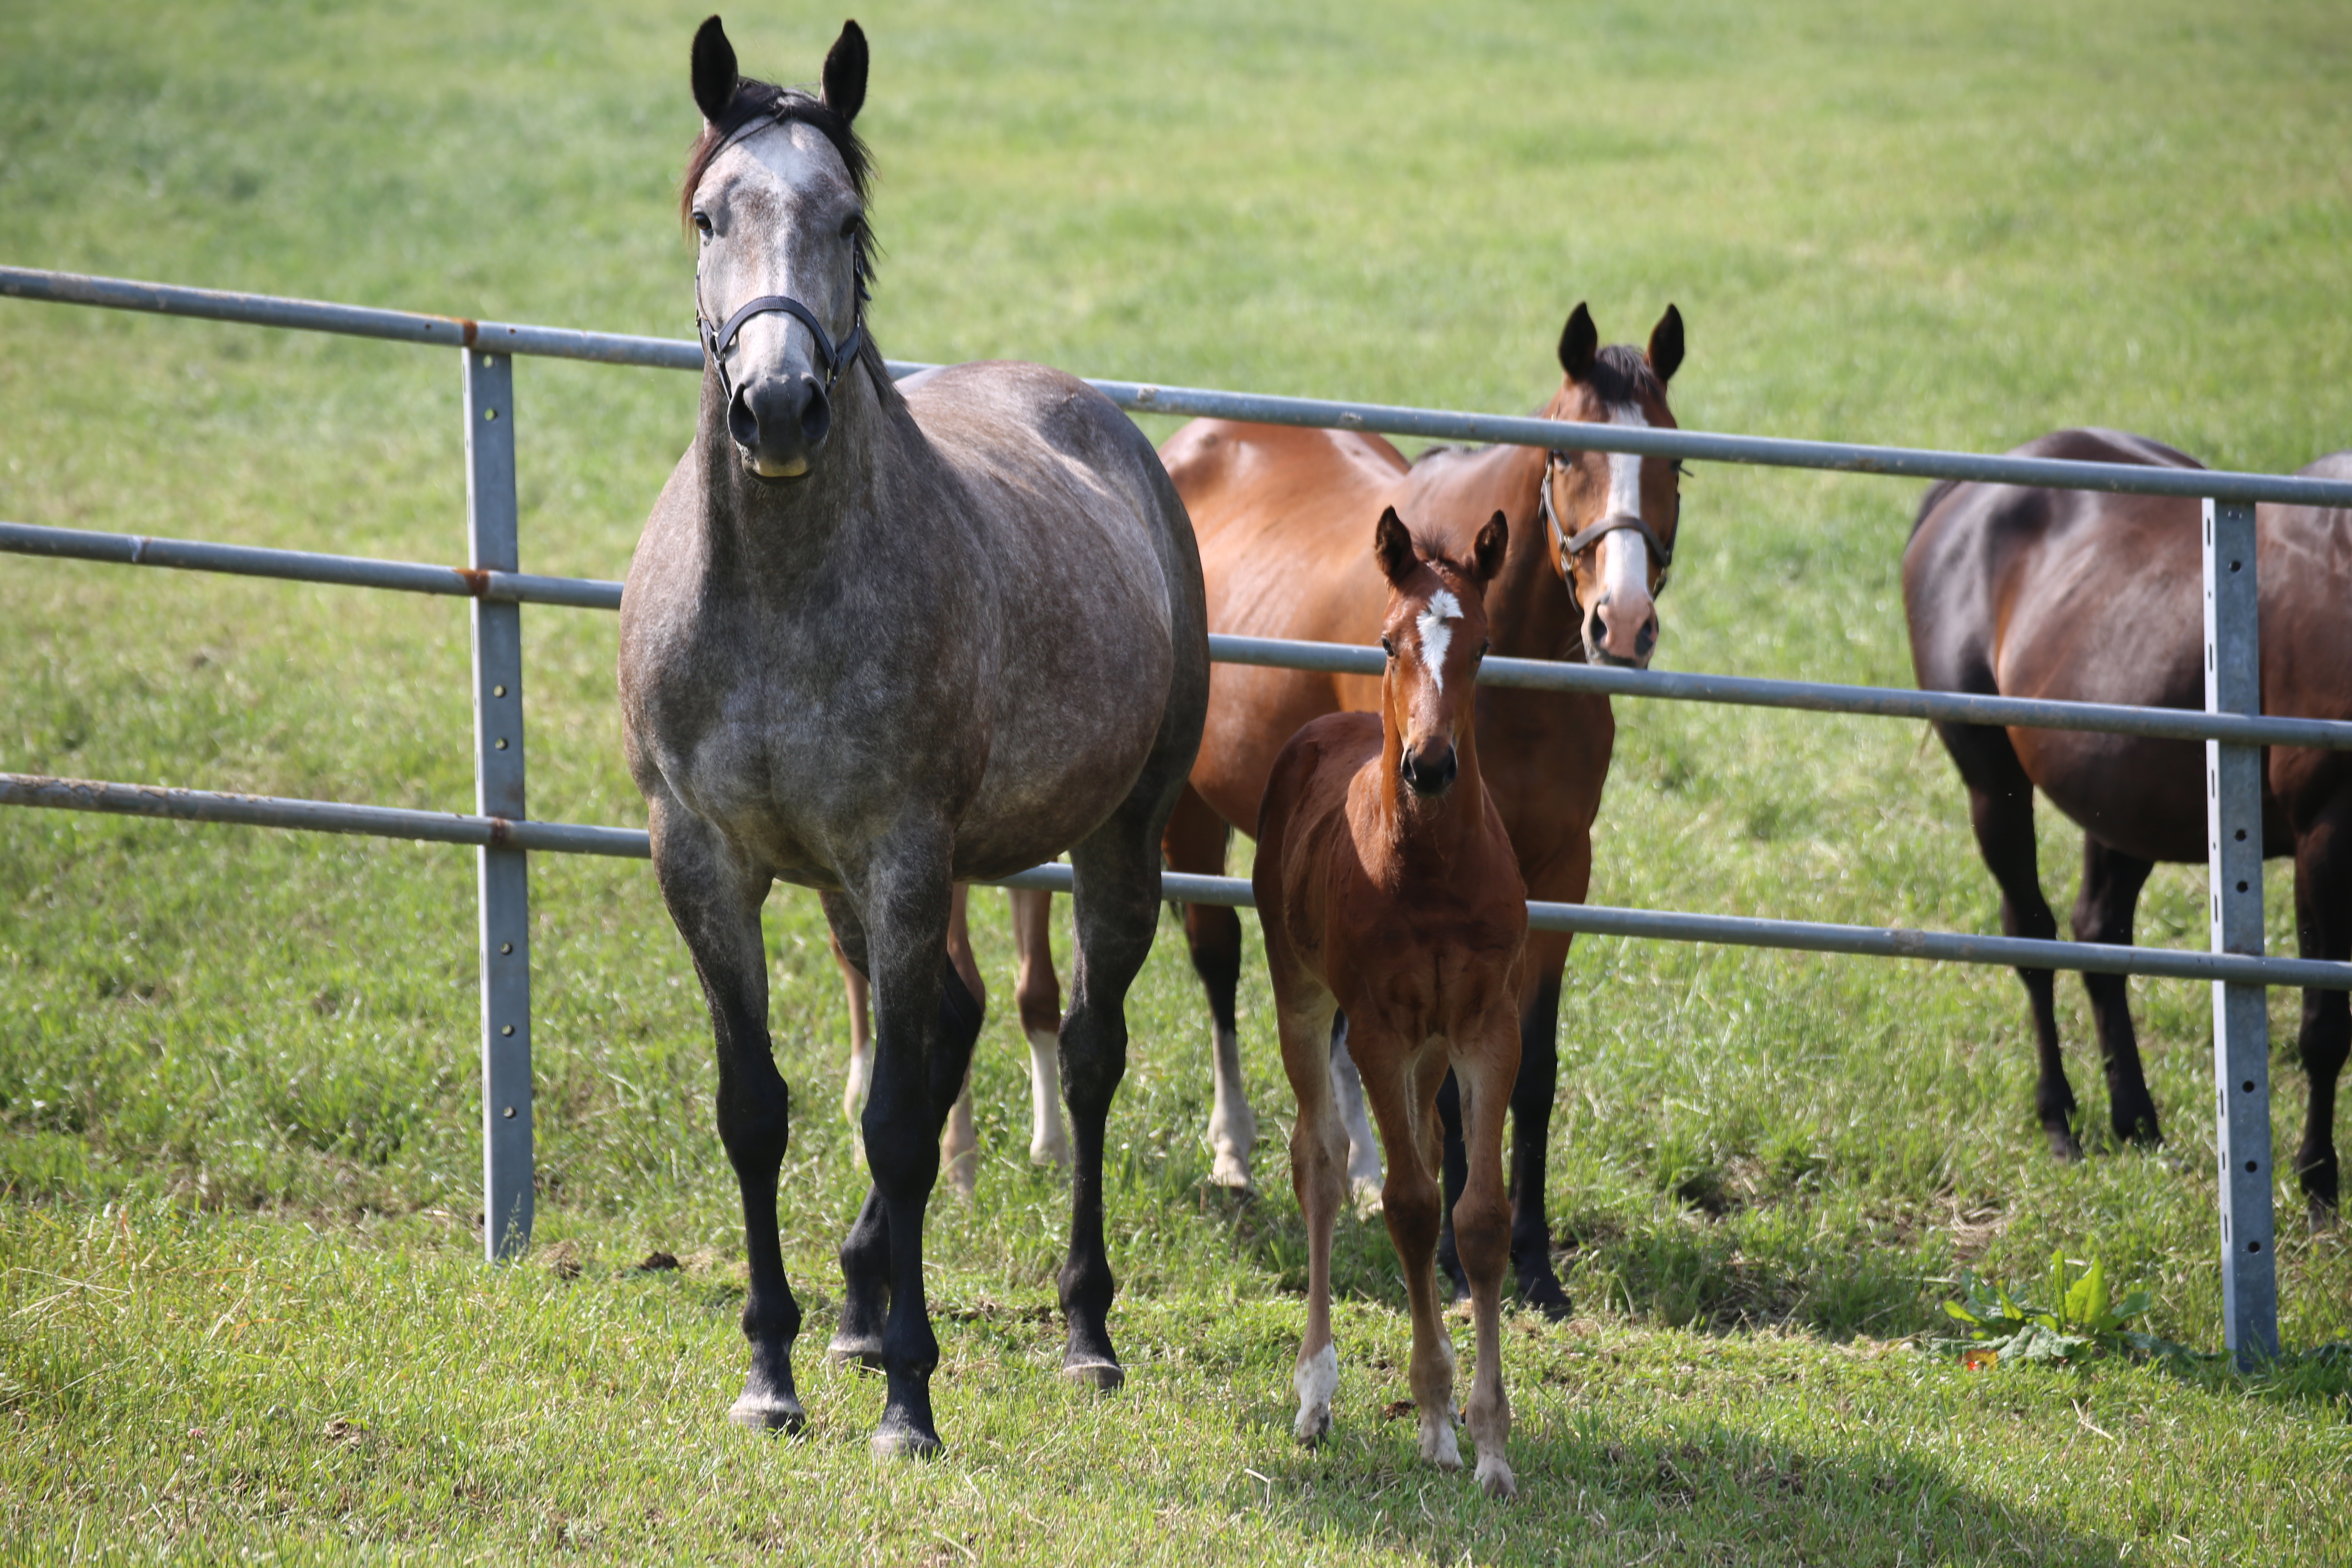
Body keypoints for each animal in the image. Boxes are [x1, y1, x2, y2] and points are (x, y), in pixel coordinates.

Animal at [621, 15, 1214, 1457]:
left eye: (847, 219)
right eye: (713, 215)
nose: (779, 408)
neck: (779, 595)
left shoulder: (902, 856)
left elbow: (895, 1117)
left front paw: (909, 1397)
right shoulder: (704, 861)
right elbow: (759, 1110)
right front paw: (774, 1368)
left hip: (1117, 843)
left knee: (1087, 1058)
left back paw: (1084, 1329)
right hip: (862, 884)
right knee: (946, 1028)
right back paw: (854, 1295)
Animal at [1152, 297, 1675, 1316]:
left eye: (1675, 458)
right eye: (1567, 456)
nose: (1623, 622)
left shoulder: (1562, 875)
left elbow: (1533, 1071)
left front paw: (1535, 1261)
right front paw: (1455, 1263)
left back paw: (1357, 1165)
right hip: (1195, 817)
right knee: (1218, 962)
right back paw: (1235, 1148)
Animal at [1261, 510, 1533, 1504]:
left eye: (1485, 646)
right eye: (1387, 642)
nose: (1430, 764)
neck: (1431, 873)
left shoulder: (1488, 1026)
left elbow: (1478, 1217)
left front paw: (1488, 1444)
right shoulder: (1376, 1027)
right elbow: (1411, 1205)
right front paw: (1437, 1411)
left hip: (1429, 1048)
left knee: (1422, 1141)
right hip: (1301, 996)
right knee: (1320, 1161)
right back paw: (1314, 1393)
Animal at [1910, 432, 2352, 1222]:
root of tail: (1964, 494)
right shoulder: (2322, 836)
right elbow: (2326, 1029)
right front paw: (2319, 1187)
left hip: (2122, 803)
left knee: (2100, 933)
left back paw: (2135, 1118)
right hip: (1995, 785)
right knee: (2033, 937)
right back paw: (2060, 1119)